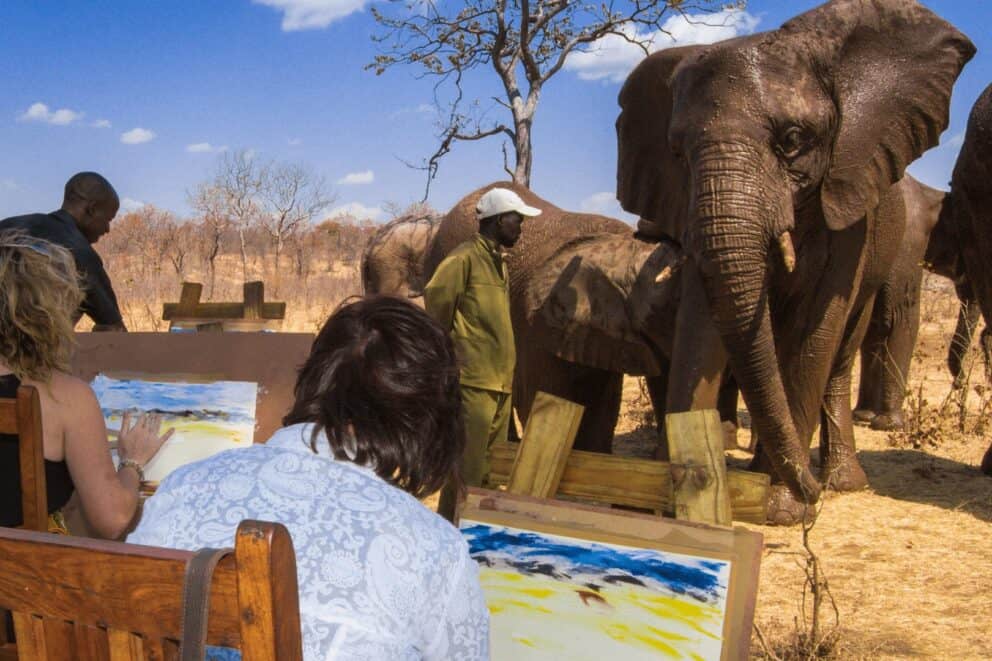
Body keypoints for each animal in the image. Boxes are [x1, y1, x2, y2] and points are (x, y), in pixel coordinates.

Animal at [616, 0, 974, 523]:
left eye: (792, 140)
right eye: (678, 153)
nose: (811, 492)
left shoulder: (848, 208)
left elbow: (813, 332)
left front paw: (783, 511)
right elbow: (701, 328)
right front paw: (679, 505)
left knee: (840, 358)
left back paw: (840, 481)